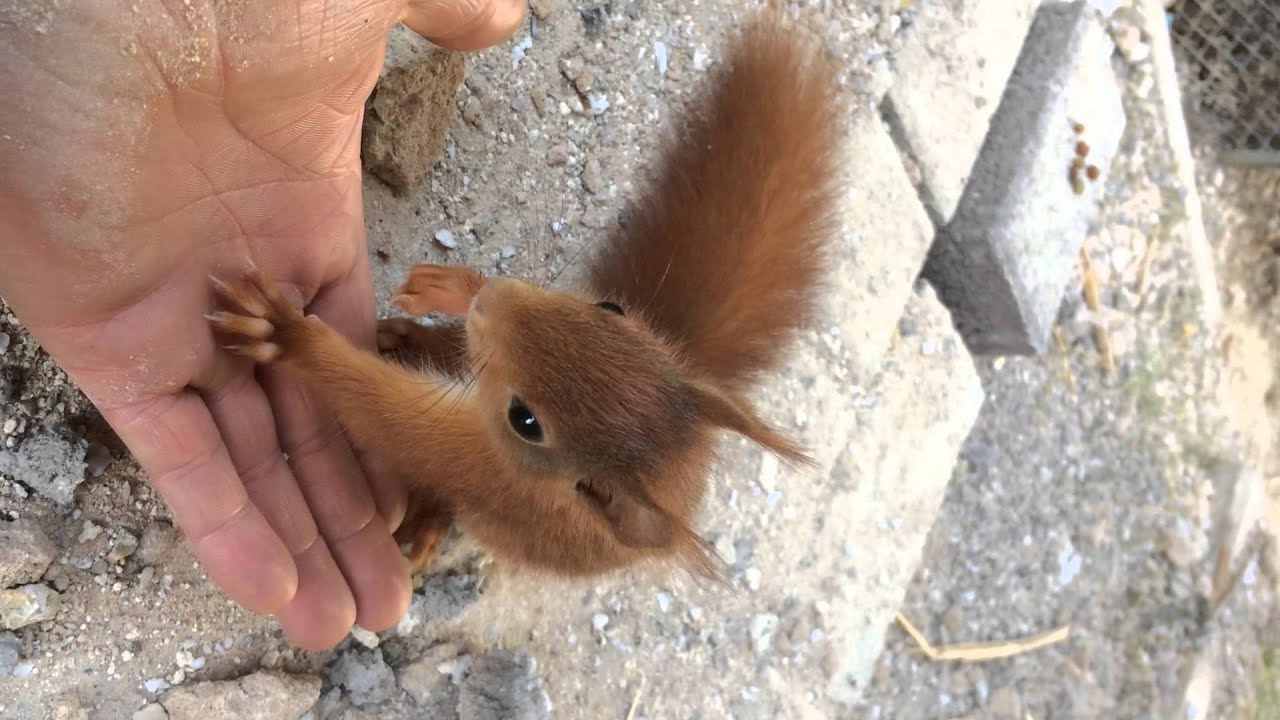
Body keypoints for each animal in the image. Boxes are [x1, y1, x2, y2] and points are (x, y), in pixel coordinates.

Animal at [208, 16, 844, 581]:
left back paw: (422, 523)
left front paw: (286, 336)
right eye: (608, 307)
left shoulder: (476, 462)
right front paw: (448, 287)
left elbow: (385, 414)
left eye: (527, 421)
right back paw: (406, 335)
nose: (493, 299)